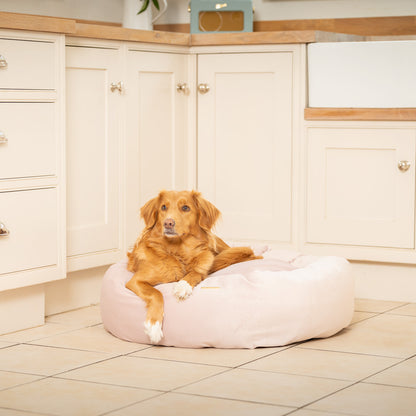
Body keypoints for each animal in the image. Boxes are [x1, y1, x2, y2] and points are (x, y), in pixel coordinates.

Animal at [126, 190, 264, 342]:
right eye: (163, 207)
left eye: (185, 208)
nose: (168, 223)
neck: (177, 250)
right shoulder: (135, 281)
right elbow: (156, 293)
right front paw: (154, 327)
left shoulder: (202, 267)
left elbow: (195, 273)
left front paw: (183, 285)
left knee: (245, 253)